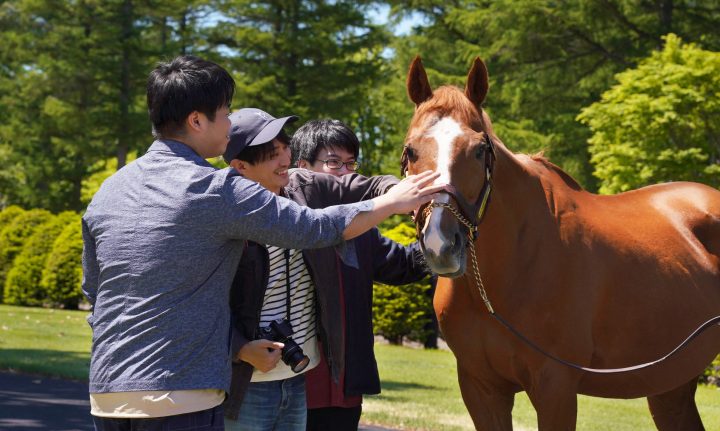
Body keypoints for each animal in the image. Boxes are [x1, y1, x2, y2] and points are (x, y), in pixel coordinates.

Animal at [402, 55, 720, 430]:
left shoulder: (556, 386)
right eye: (410, 150)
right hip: (671, 383)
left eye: (480, 150)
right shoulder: (480, 387)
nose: (441, 243)